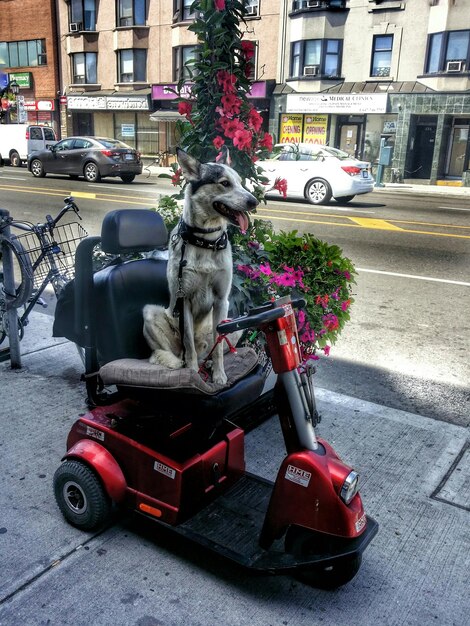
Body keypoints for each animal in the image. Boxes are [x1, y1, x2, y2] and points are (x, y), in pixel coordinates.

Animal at [143, 149, 258, 382]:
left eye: (241, 182)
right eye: (224, 183)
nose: (254, 202)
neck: (206, 240)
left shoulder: (222, 301)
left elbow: (219, 346)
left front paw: (219, 375)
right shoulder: (184, 299)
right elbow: (188, 341)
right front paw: (193, 372)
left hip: (232, 323)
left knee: (211, 349)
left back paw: (209, 364)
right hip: (151, 313)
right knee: (169, 352)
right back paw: (180, 362)